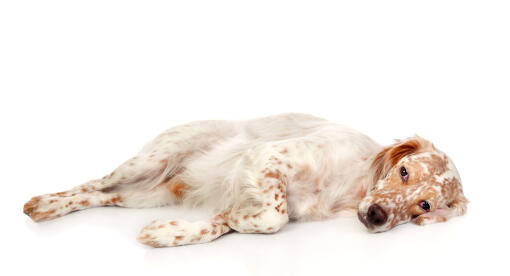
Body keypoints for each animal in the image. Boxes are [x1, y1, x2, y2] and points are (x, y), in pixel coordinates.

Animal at [23, 113, 470, 247]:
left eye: (424, 205)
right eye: (404, 171)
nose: (377, 215)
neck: (353, 185)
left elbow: (223, 222)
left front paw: (167, 233)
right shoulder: (270, 157)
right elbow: (273, 216)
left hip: (143, 194)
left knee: (103, 197)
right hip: (149, 160)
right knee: (91, 185)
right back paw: (43, 204)